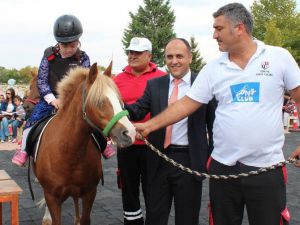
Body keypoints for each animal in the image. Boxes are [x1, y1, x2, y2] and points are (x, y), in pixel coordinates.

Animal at [33, 63, 135, 225]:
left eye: (120, 101)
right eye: (99, 102)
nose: (130, 133)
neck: (68, 150)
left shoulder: (89, 193)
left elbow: (85, 219)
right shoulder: (52, 197)